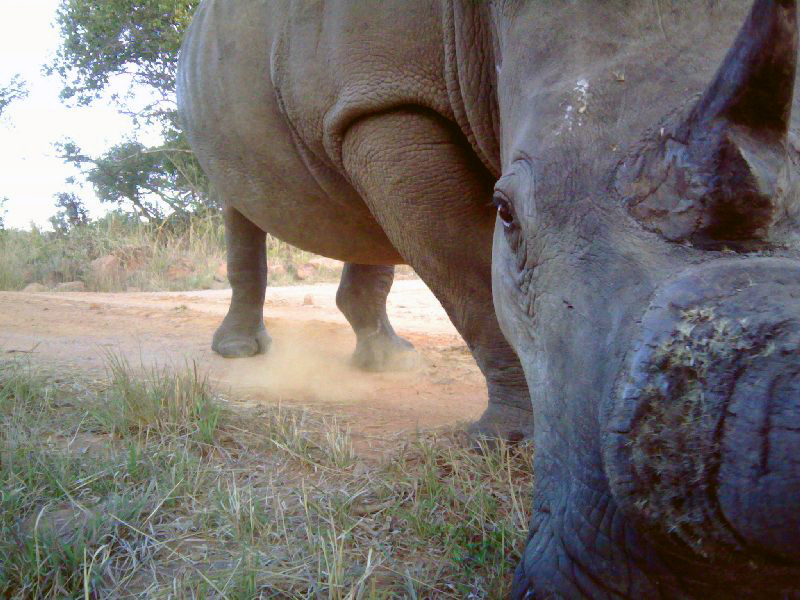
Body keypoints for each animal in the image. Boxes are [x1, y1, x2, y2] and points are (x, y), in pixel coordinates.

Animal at [178, 0, 800, 596]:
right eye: (509, 214)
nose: (736, 573)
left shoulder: (374, 100)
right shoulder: (382, 100)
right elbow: (473, 279)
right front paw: (509, 445)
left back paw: (389, 362)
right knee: (237, 199)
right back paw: (242, 352)